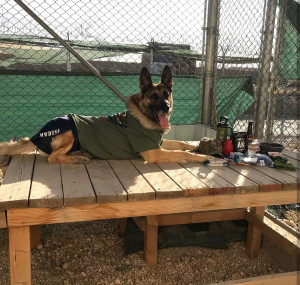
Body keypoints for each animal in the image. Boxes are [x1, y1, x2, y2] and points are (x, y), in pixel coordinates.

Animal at [0, 65, 213, 163]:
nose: (166, 108)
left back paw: (80, 153)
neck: (143, 117)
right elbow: (179, 152)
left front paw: (198, 148)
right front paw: (201, 158)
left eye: (166, 94)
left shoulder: (159, 143)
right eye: (153, 97)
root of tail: (36, 134)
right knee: (52, 157)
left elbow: (181, 144)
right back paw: (76, 159)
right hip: (70, 130)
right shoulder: (155, 152)